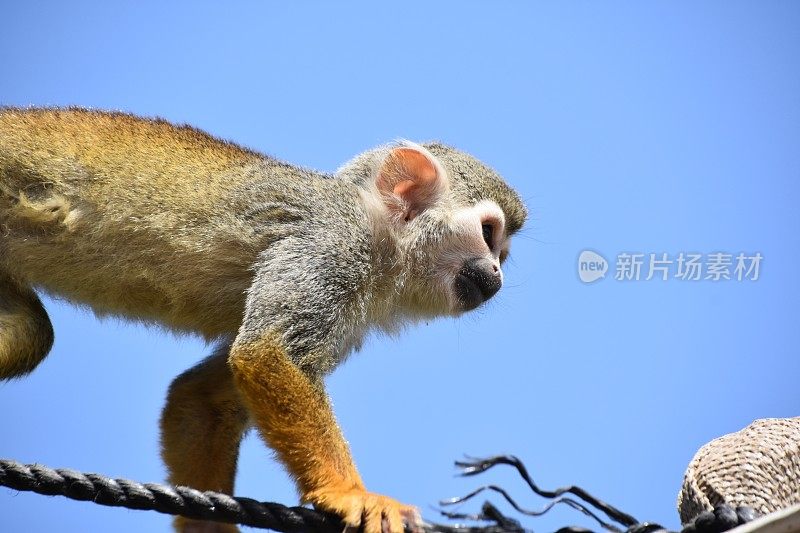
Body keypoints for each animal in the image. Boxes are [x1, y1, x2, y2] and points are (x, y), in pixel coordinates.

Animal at [1, 108, 532, 532]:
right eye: (489, 234)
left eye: (503, 252)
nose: (498, 273)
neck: (379, 231)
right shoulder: (333, 243)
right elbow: (269, 352)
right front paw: (350, 493)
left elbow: (201, 395)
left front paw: (207, 529)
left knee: (31, 333)